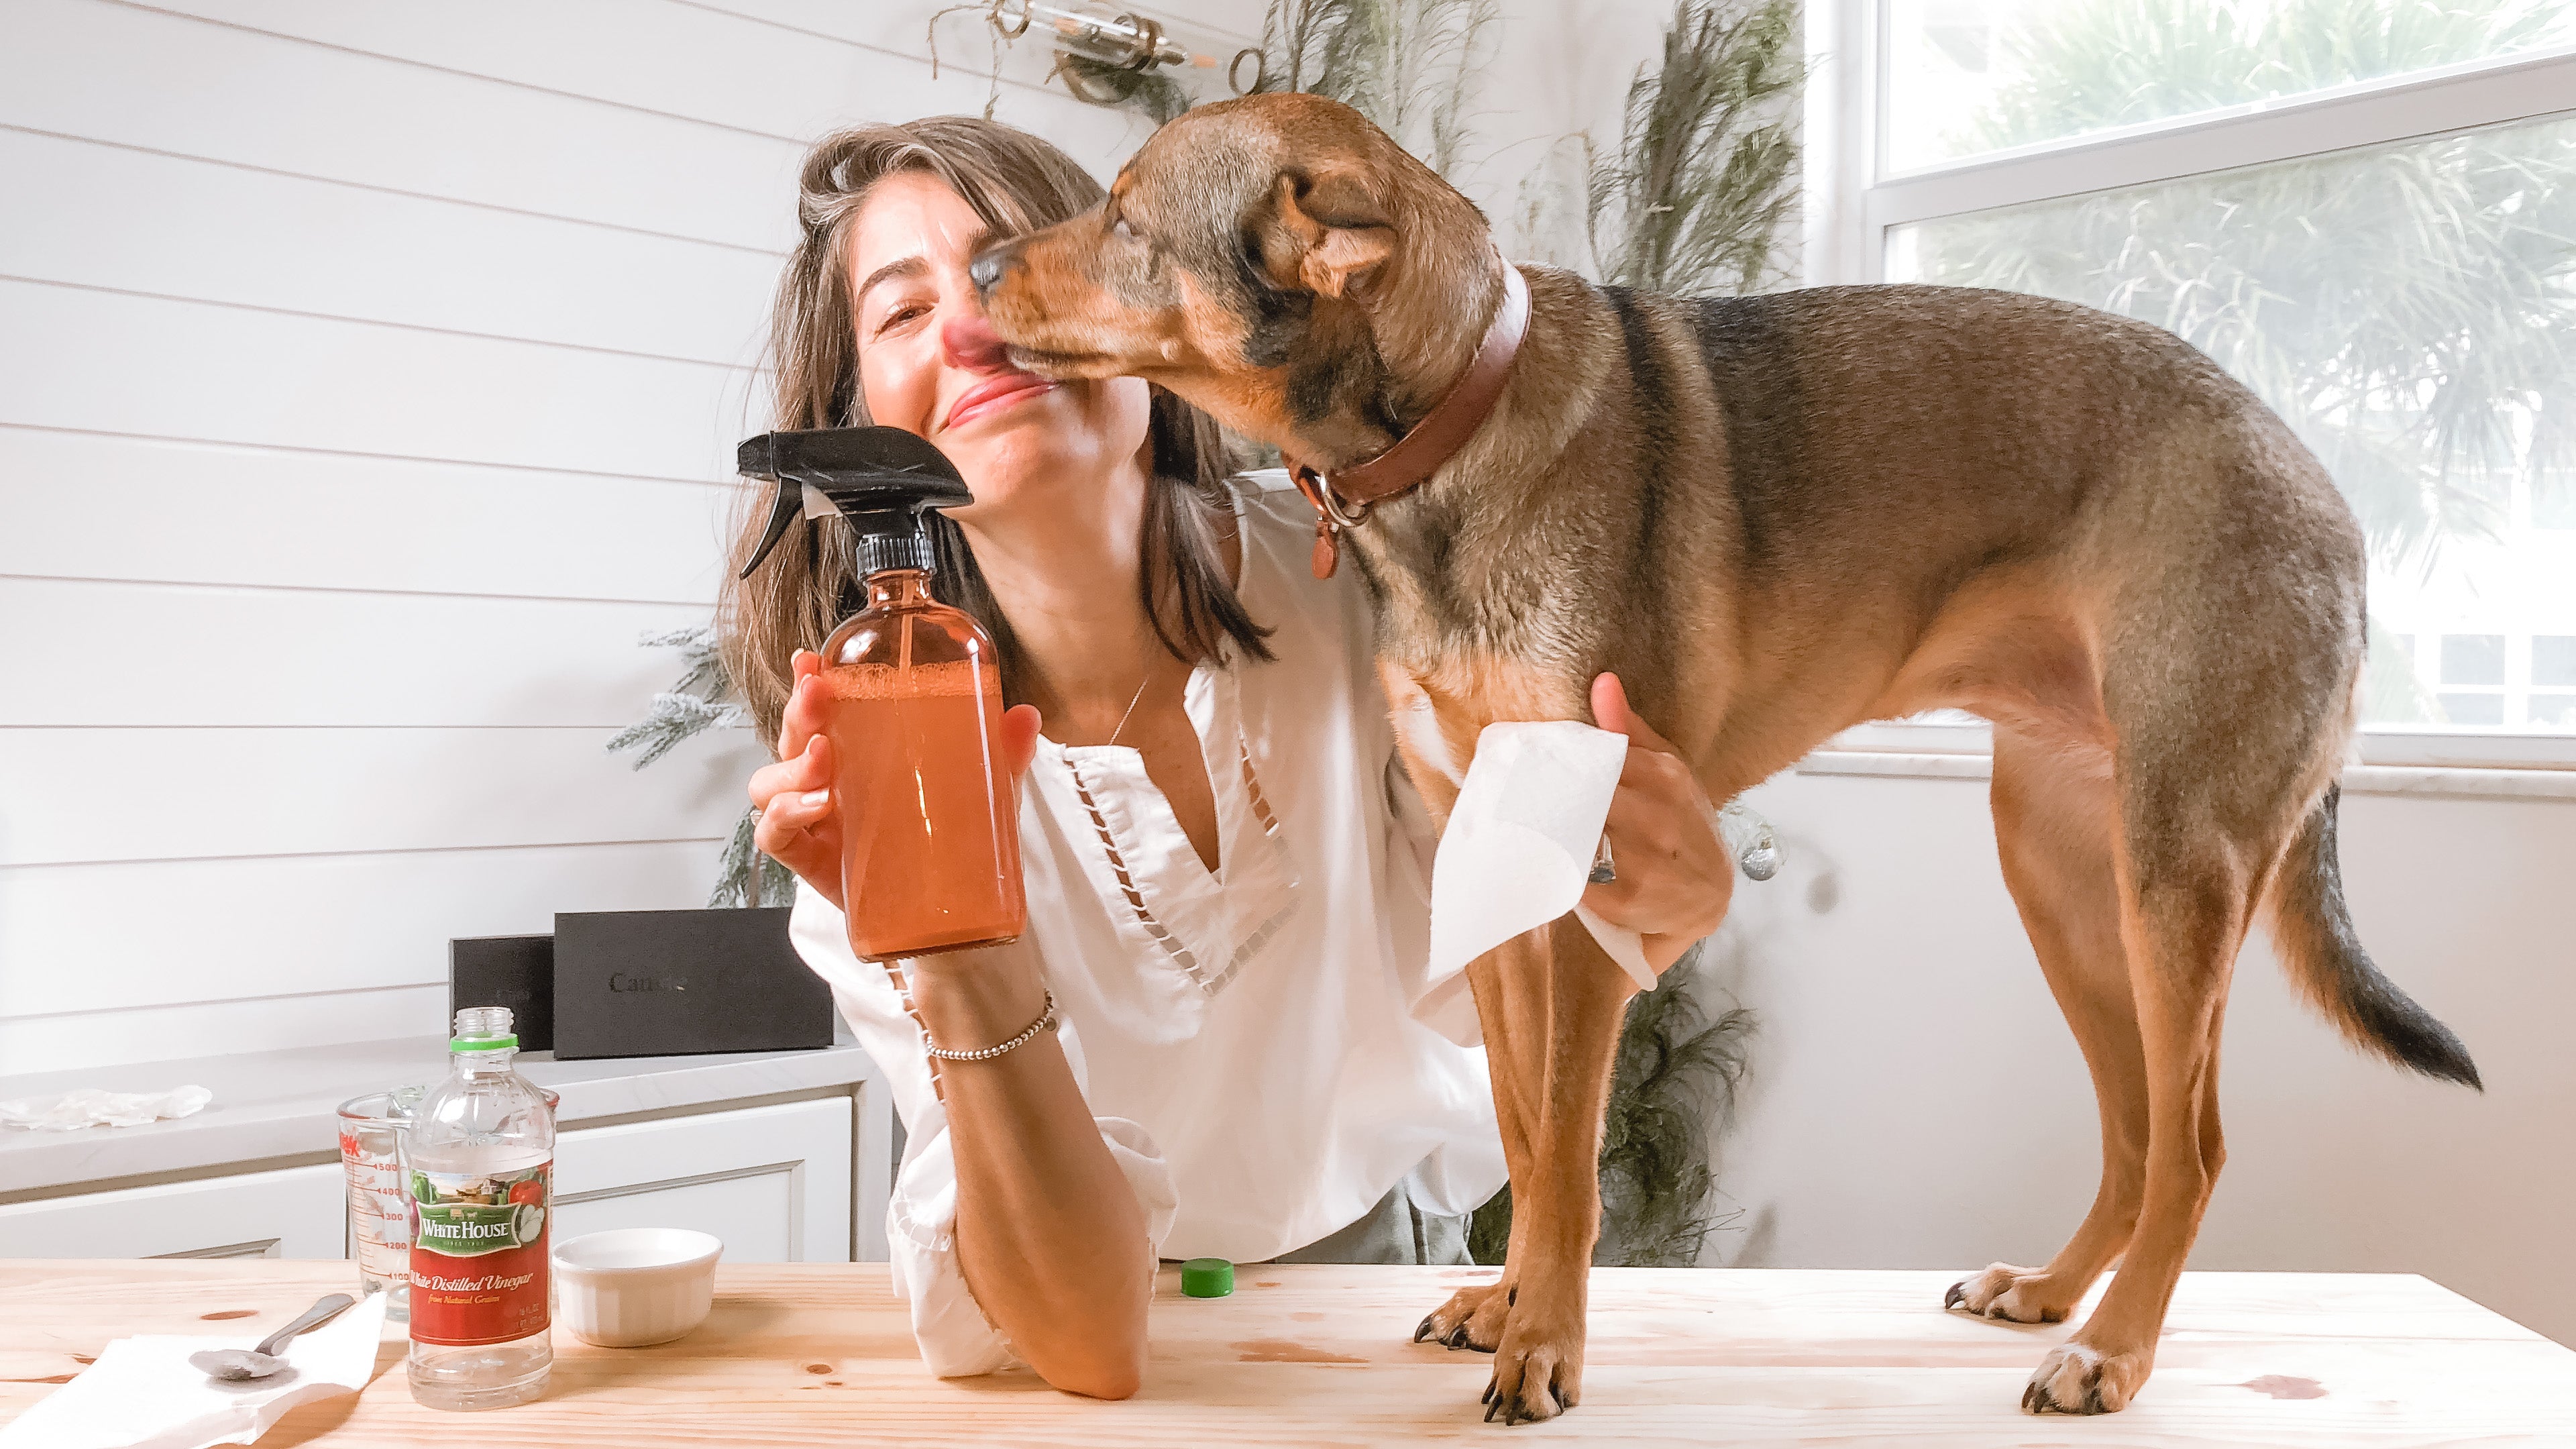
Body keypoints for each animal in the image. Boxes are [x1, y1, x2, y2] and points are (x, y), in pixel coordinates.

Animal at [963, 93, 2473, 1423]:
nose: (976, 267)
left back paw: (2115, 1353)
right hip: (2061, 880)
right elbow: (1524, 1130)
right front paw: (1508, 1307)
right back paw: (2055, 1296)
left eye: (1123, 213)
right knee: (2139, 1131)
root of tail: (2321, 484)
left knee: (2197, 1146)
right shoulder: (1492, 866)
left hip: (2177, 874)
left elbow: (1567, 1158)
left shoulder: (1594, 874)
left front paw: (1548, 1349)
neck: (1454, 425)